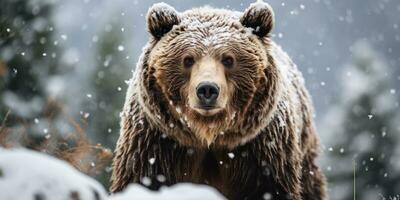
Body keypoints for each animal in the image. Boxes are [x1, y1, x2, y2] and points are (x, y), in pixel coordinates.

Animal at [109, 1, 324, 200]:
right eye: (188, 59)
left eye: (228, 59)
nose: (207, 89)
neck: (209, 134)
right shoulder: (157, 143)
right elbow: (143, 179)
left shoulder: (262, 151)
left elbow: (270, 189)